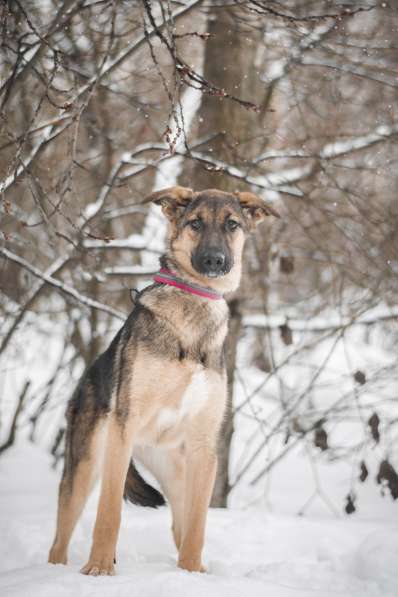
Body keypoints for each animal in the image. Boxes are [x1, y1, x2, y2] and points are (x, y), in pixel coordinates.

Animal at [48, 185, 278, 572]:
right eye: (195, 223)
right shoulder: (123, 430)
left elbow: (197, 526)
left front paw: (192, 574)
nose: (215, 260)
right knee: (61, 537)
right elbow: (109, 512)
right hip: (87, 465)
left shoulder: (204, 447)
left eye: (232, 224)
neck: (194, 306)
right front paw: (100, 568)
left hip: (177, 473)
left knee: (180, 526)